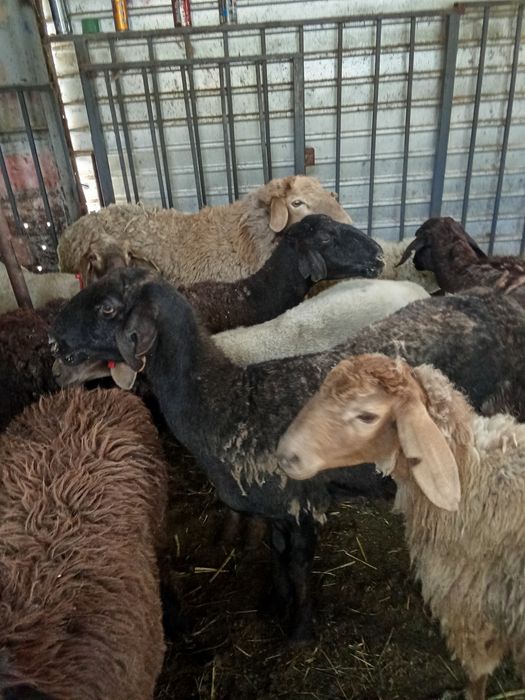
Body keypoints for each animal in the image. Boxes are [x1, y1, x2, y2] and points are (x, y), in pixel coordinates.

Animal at [49, 269, 525, 642]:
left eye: (107, 308)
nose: (53, 341)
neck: (230, 402)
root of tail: (494, 302)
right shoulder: (275, 507)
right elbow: (275, 554)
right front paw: (273, 604)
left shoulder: (301, 503)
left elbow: (297, 565)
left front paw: (299, 629)